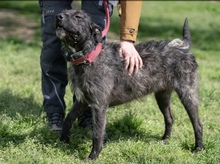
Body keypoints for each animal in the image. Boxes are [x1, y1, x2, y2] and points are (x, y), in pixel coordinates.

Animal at [55, 9, 203, 160]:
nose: (58, 17)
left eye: (78, 16)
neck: (89, 57)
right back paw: (165, 140)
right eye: (64, 12)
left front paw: (93, 156)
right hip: (162, 96)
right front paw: (63, 141)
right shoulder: (82, 101)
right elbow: (68, 119)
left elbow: (97, 134)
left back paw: (199, 148)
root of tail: (183, 47)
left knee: (197, 124)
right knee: (170, 118)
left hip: (187, 94)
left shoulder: (99, 106)